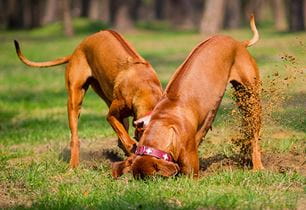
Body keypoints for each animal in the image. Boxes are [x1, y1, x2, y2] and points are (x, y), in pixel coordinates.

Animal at [14, 30, 163, 167]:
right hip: (75, 100)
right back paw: (73, 165)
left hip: (103, 91)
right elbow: (125, 137)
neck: (146, 88)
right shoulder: (111, 116)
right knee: (75, 137)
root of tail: (77, 49)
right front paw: (132, 151)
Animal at [113, 16, 264, 179]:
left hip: (251, 99)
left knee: (254, 135)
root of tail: (239, 43)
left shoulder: (190, 166)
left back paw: (257, 165)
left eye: (150, 179)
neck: (165, 120)